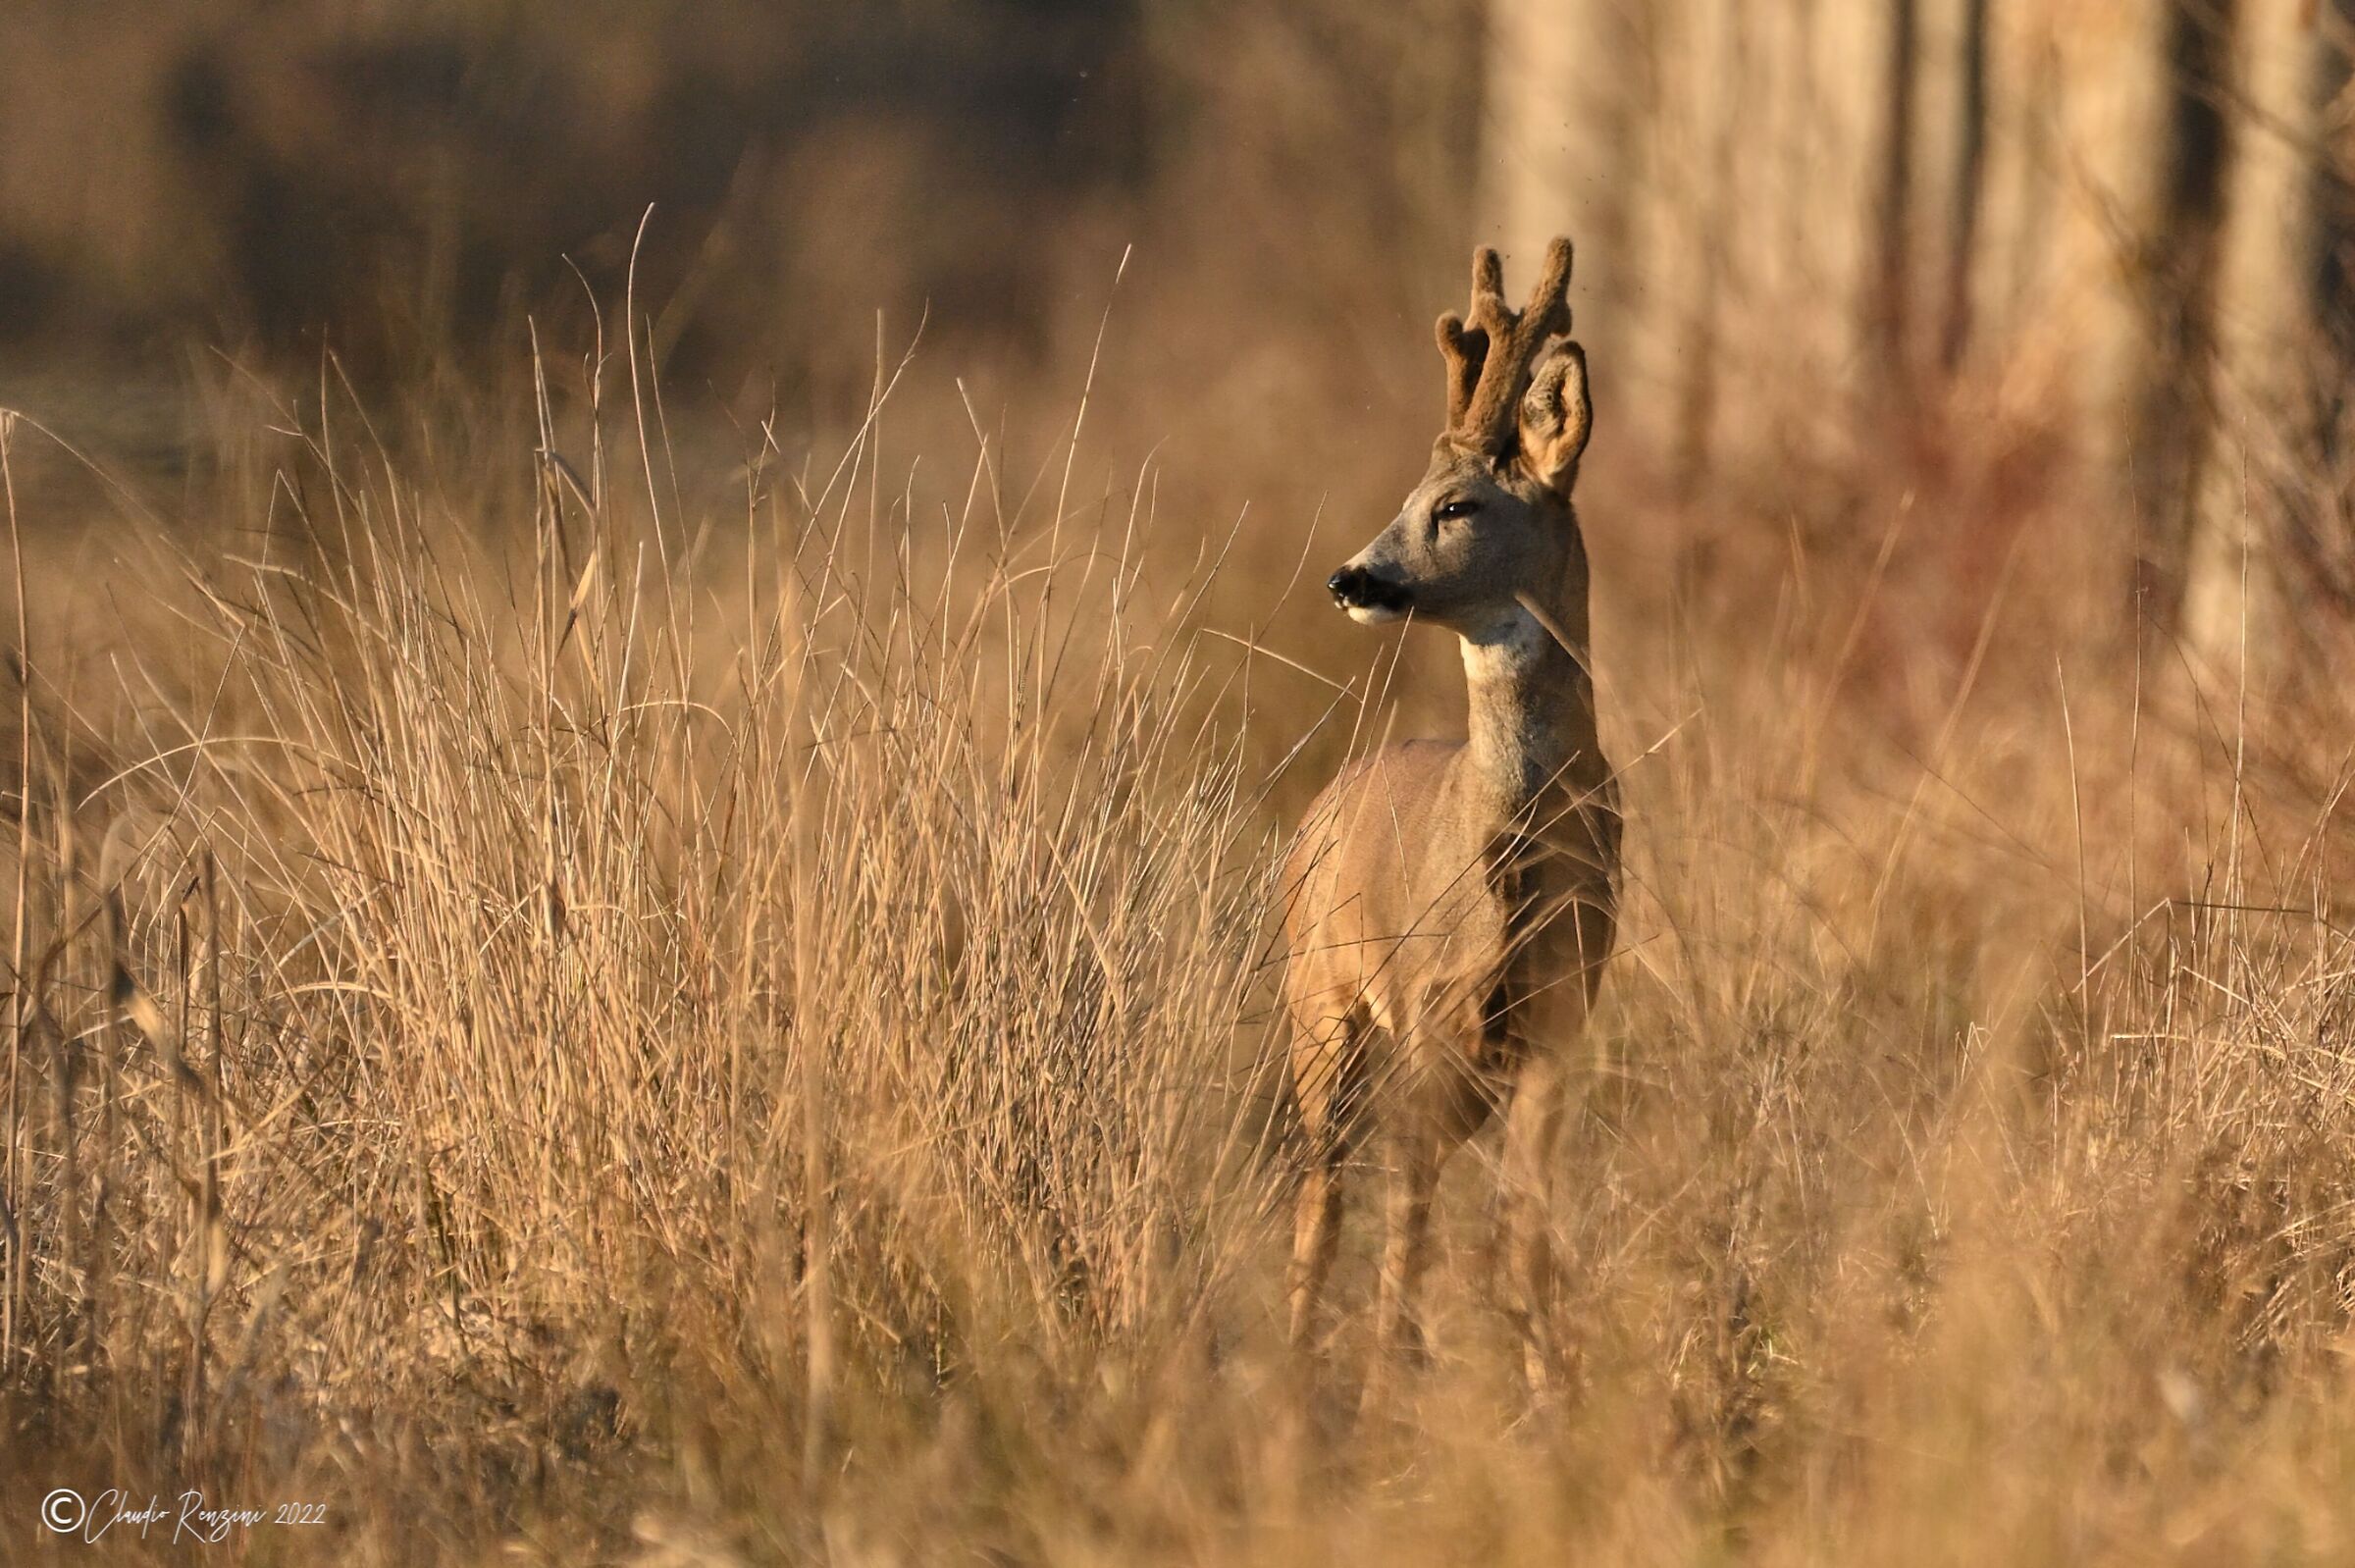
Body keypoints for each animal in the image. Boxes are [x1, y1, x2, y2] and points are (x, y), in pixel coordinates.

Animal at [1281, 237, 1617, 1399]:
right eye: (1407, 494)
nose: (1350, 577)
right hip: (1317, 996)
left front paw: (1553, 1392)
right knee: (1326, 1196)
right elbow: (1410, 1226)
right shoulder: (1429, 1006)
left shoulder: (1561, 1015)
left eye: (1459, 506)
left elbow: (1528, 1231)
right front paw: (1392, 1389)